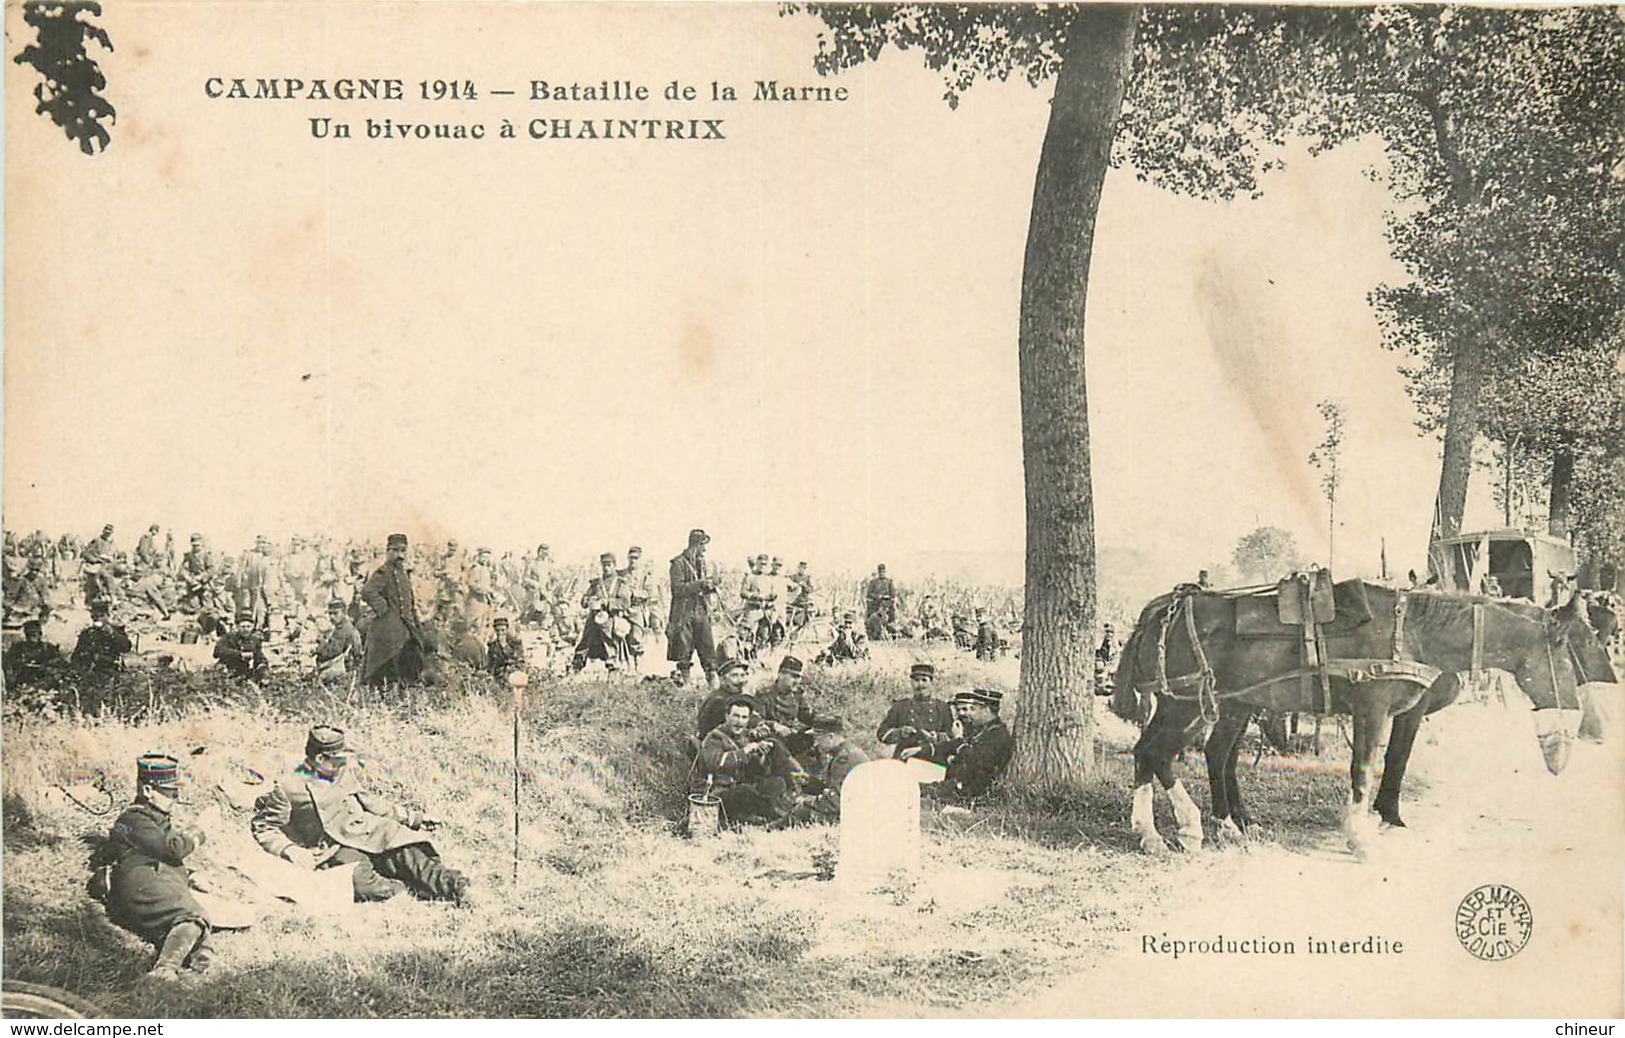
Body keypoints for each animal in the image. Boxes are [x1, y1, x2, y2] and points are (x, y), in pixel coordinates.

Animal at [1111, 581, 1579, 857]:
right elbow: (1366, 768)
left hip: (1210, 704)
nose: (1575, 712)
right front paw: (1360, 835)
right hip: (1187, 703)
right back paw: (1185, 828)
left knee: (1158, 752)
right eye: (1564, 651)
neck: (1408, 633)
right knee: (1158, 753)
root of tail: (1164, 607)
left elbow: (1386, 763)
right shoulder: (1373, 708)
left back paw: (1167, 832)